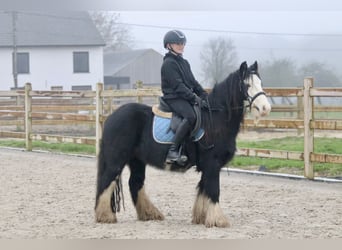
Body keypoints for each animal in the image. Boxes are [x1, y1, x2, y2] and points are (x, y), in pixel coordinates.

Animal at [94, 60, 270, 227]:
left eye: (261, 82)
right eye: (247, 85)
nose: (265, 108)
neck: (215, 119)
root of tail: (111, 117)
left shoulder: (208, 167)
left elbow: (203, 190)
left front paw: (201, 217)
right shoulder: (212, 164)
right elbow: (214, 190)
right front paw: (218, 220)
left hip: (137, 160)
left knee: (135, 183)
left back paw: (149, 214)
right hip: (116, 159)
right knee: (106, 181)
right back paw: (105, 216)